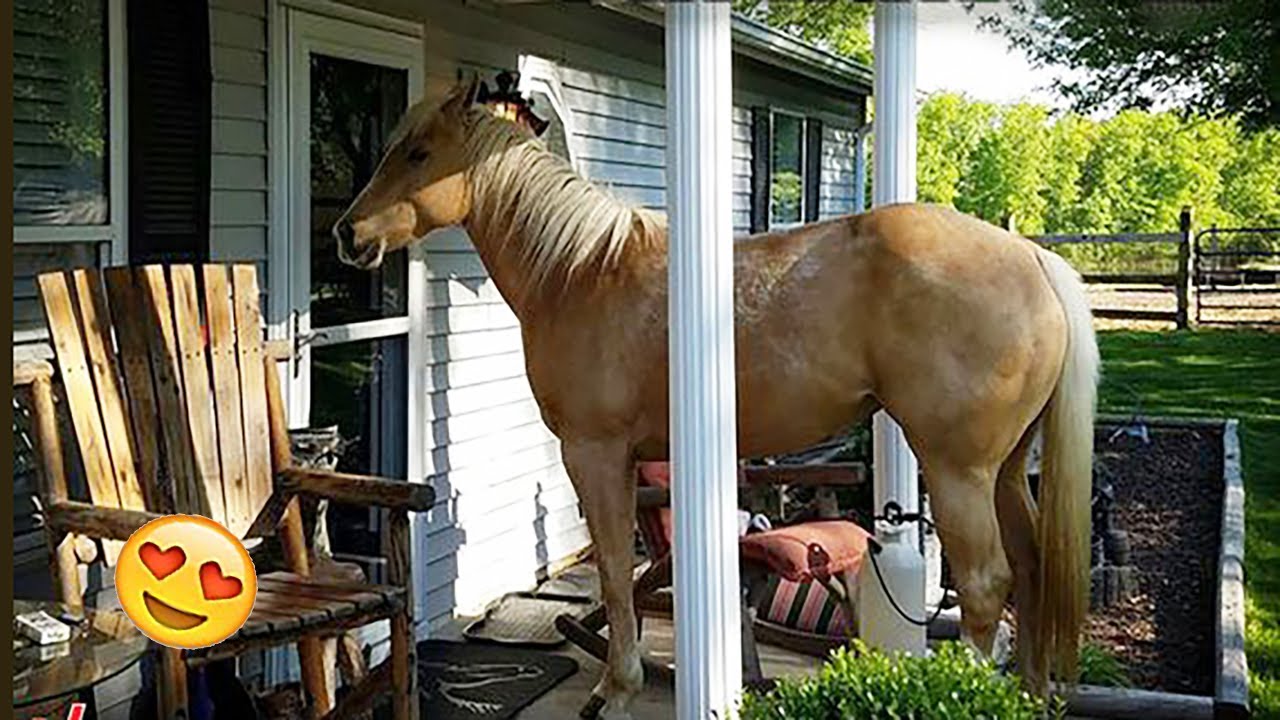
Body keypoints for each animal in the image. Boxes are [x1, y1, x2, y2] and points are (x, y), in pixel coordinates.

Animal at [334, 77, 1099, 718]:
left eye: (419, 152)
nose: (348, 231)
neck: (582, 273)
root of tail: (1035, 258)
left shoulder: (593, 452)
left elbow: (615, 574)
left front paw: (615, 690)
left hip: (957, 469)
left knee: (985, 585)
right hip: (1005, 471)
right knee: (1031, 568)